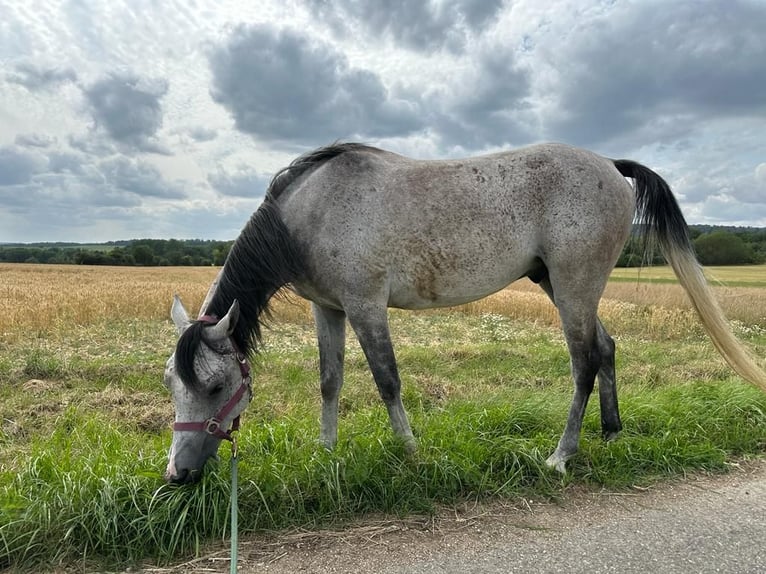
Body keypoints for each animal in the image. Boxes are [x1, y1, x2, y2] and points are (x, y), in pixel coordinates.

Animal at [164, 143, 766, 486]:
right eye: (171, 383)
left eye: (215, 387)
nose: (178, 474)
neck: (309, 212)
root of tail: (610, 167)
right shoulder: (328, 309)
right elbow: (330, 381)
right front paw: (325, 456)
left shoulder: (365, 306)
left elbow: (386, 380)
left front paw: (411, 454)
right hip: (561, 285)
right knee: (607, 348)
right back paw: (612, 434)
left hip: (574, 287)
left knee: (585, 362)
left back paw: (560, 457)